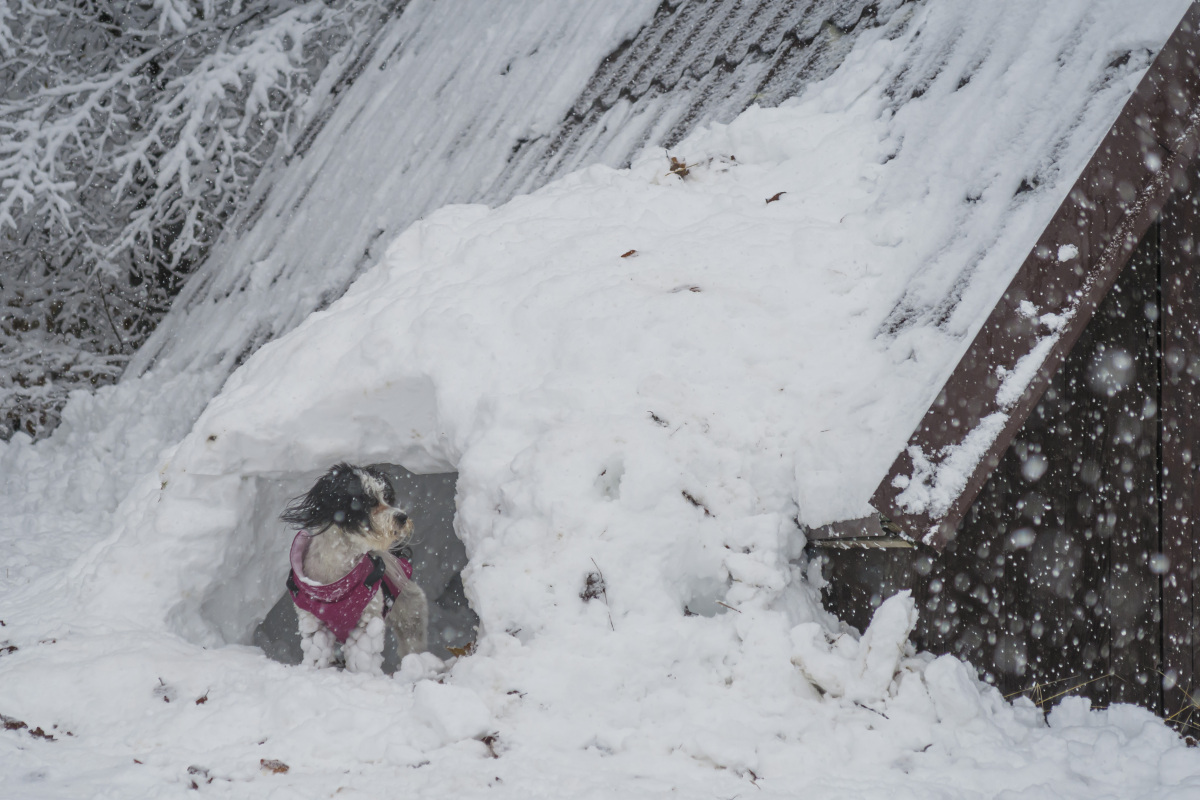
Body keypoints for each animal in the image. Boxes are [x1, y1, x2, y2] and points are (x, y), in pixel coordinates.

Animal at [278, 462, 429, 676]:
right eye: (370, 501)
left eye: (388, 497)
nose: (402, 516)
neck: (337, 586)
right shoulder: (313, 621)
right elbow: (317, 652)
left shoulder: (367, 621)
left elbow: (361, 658)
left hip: (410, 616)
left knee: (412, 643)